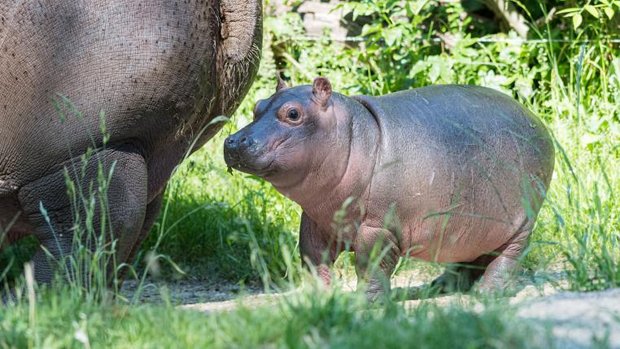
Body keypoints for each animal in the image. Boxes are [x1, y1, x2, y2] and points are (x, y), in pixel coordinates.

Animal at [225, 77, 556, 298]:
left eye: (293, 113)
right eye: (257, 106)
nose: (233, 141)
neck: (351, 134)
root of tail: (538, 123)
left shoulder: (378, 228)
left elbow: (371, 266)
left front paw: (365, 304)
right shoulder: (316, 221)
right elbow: (313, 259)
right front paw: (319, 299)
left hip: (522, 223)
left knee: (508, 257)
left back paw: (487, 294)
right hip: (472, 225)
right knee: (470, 257)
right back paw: (440, 287)